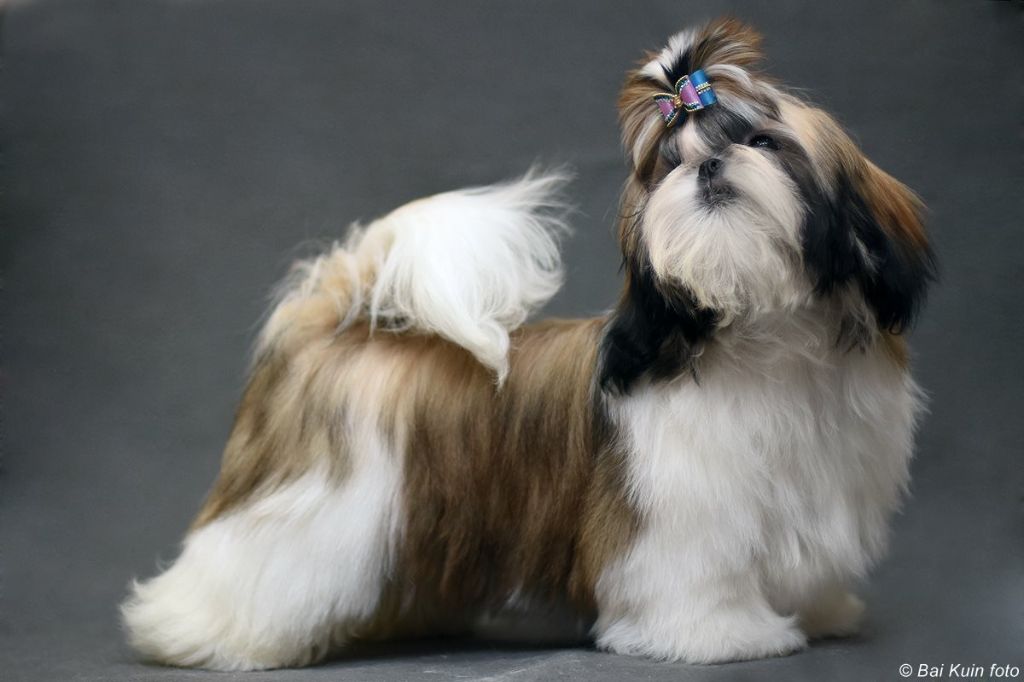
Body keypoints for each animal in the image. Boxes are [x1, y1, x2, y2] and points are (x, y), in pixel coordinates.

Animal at [122, 18, 934, 670]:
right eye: (667, 167)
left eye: (762, 142)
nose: (707, 166)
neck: (764, 330)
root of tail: (333, 326)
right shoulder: (684, 512)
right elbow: (698, 576)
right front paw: (725, 636)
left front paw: (818, 614)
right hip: (314, 502)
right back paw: (198, 632)